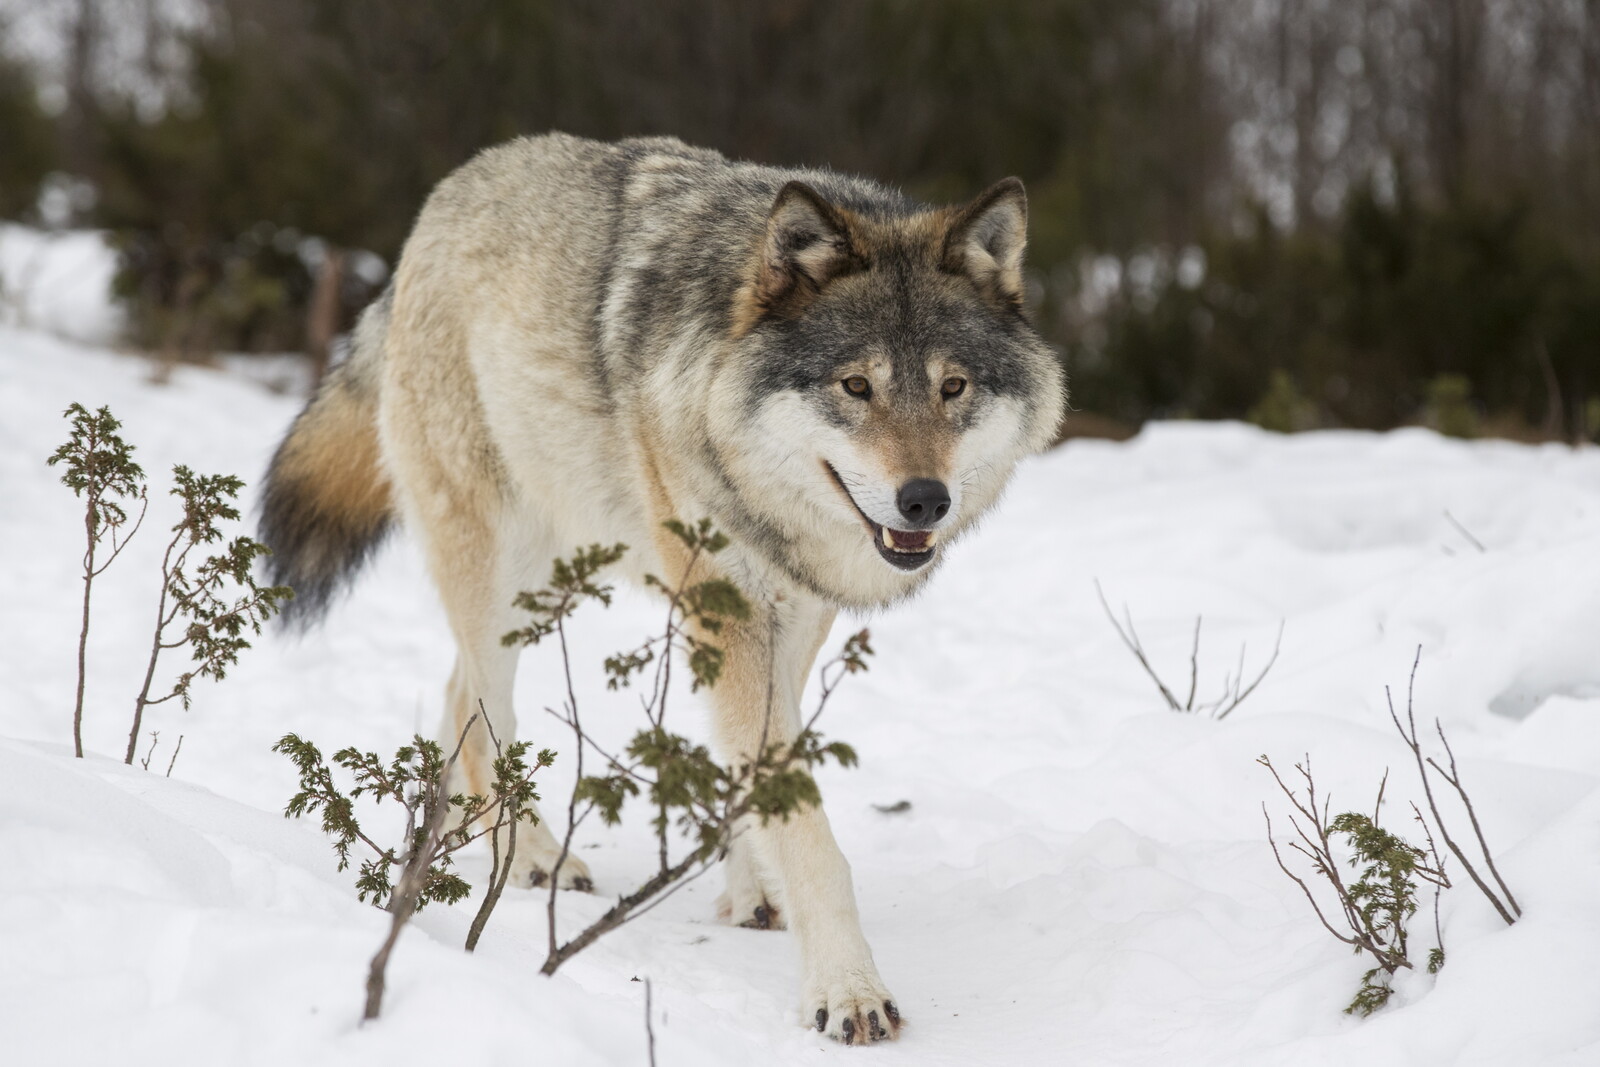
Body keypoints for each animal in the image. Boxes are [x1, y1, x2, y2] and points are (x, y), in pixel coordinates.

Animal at [260, 132, 1064, 1043]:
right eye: (856, 386)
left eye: (952, 387)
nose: (925, 500)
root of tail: (445, 198)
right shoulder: (730, 610)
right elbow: (807, 827)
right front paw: (849, 990)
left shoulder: (793, 614)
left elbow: (758, 773)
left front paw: (755, 892)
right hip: (503, 570)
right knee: (486, 710)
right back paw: (529, 857)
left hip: (551, 579)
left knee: (457, 692)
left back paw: (447, 840)